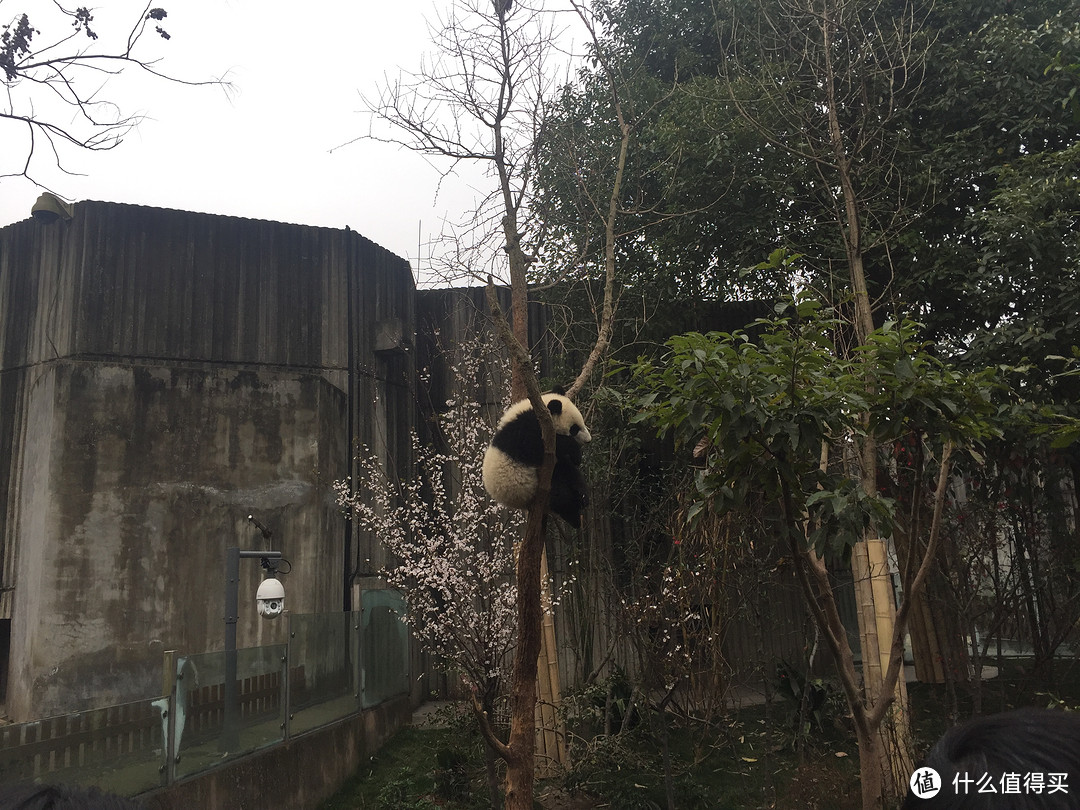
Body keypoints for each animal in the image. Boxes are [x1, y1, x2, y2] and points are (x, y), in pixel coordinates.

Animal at [486, 390, 596, 529]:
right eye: (574, 429)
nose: (588, 440)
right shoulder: (524, 431)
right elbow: (535, 447)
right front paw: (575, 451)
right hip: (526, 488)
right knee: (561, 496)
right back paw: (574, 516)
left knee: (568, 472)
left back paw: (582, 498)